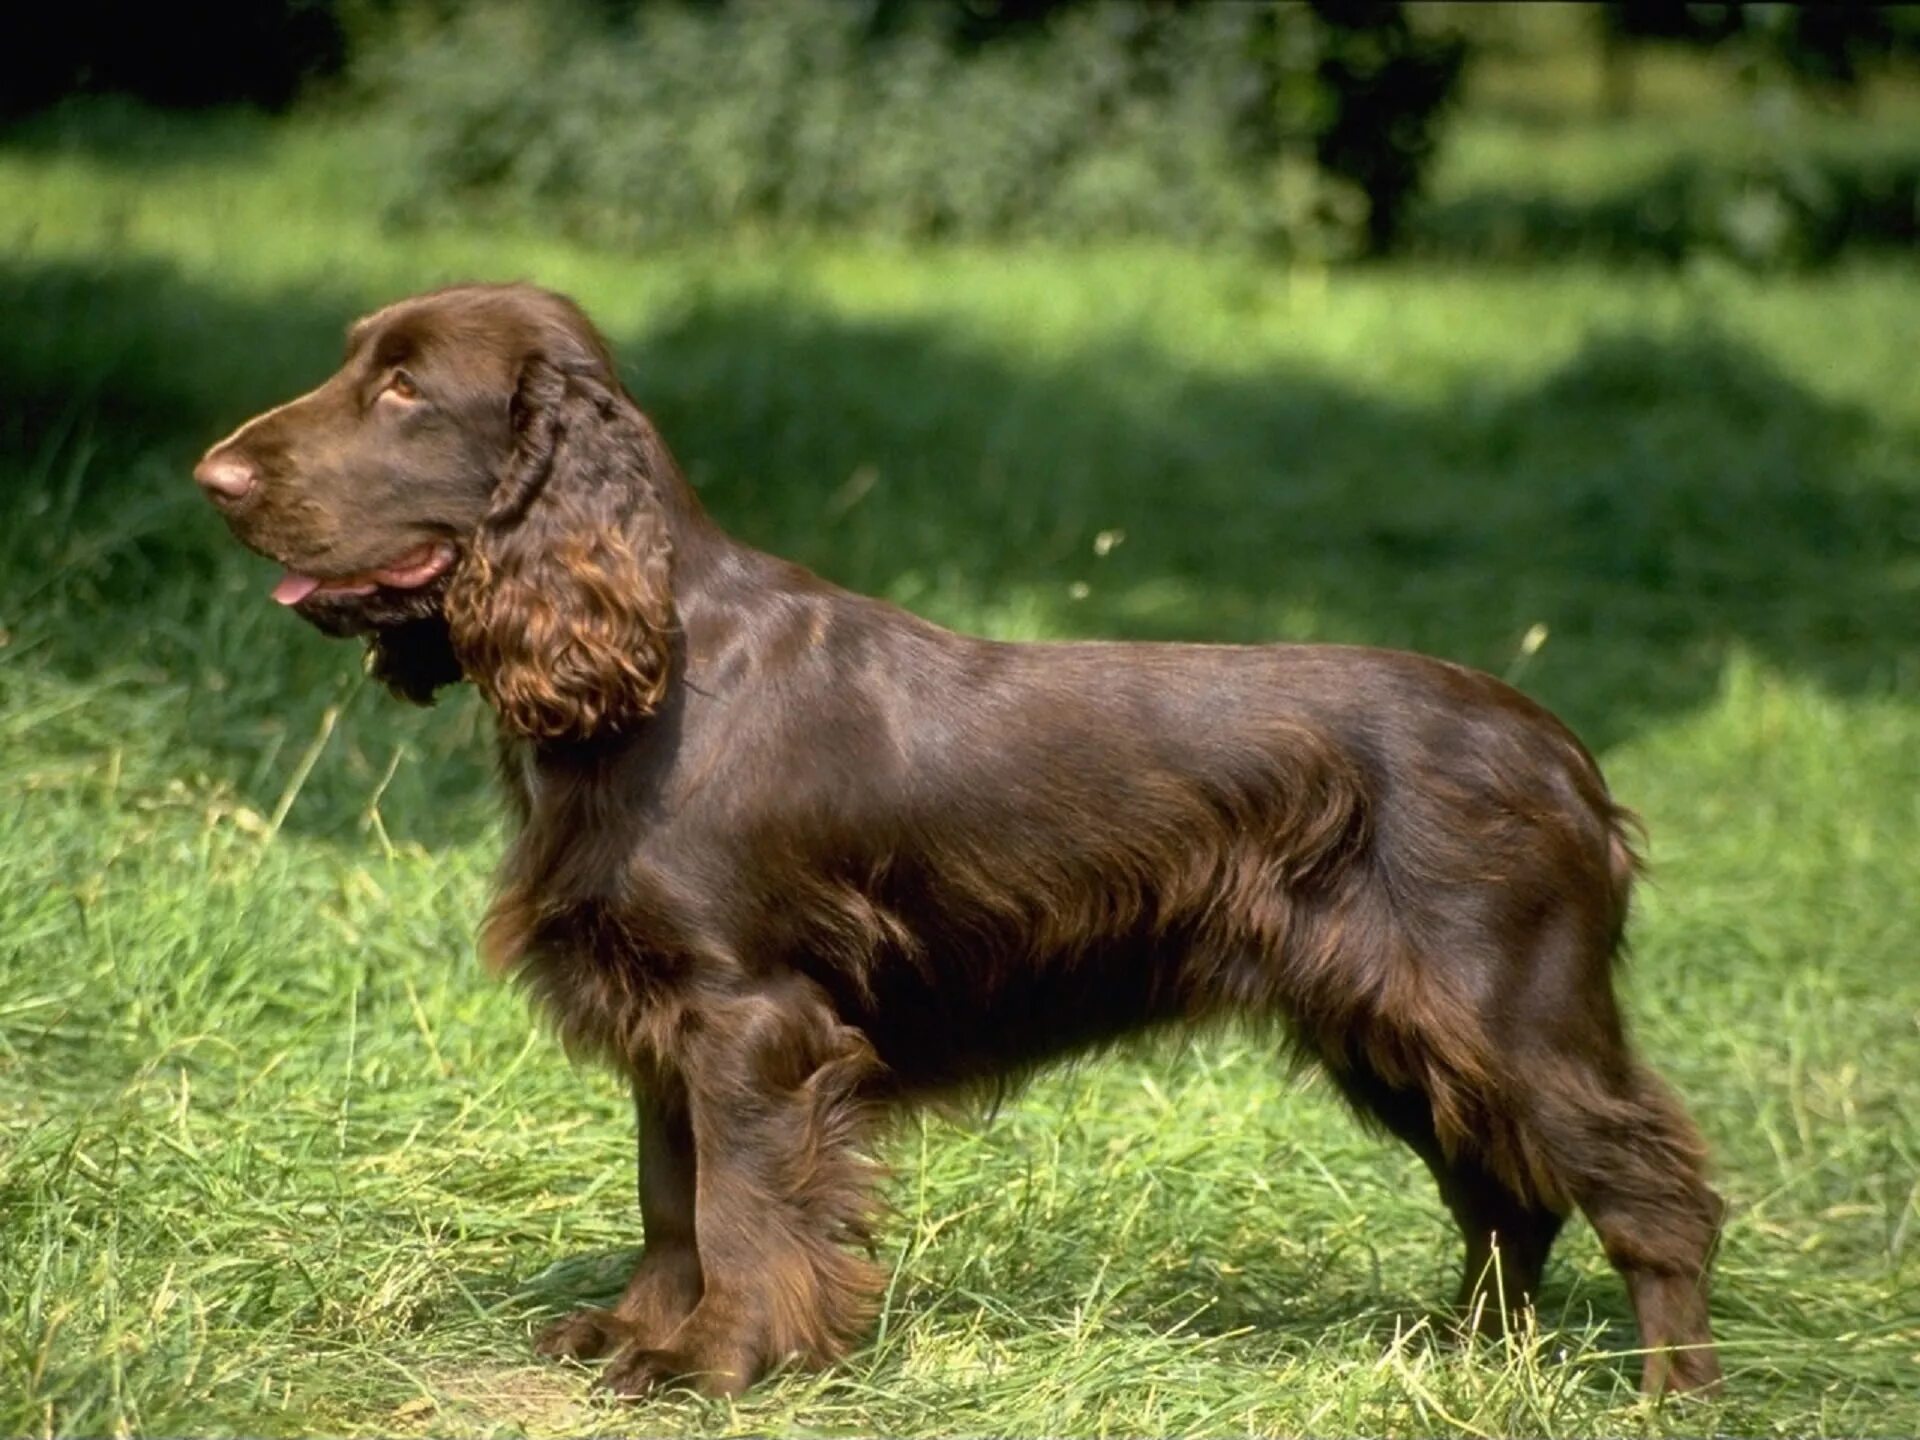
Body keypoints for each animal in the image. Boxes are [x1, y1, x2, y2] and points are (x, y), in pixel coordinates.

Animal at [194, 282, 1728, 1397]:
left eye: (404, 389)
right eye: (357, 366)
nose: (212, 477)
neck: (657, 664)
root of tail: (1570, 761)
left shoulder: (752, 1018)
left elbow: (738, 1206)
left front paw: (715, 1363)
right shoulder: (662, 1018)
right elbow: (667, 1193)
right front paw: (636, 1334)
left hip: (1506, 1010)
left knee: (1651, 1192)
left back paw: (1667, 1394)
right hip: (1392, 1027)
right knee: (1505, 1198)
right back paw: (1465, 1363)